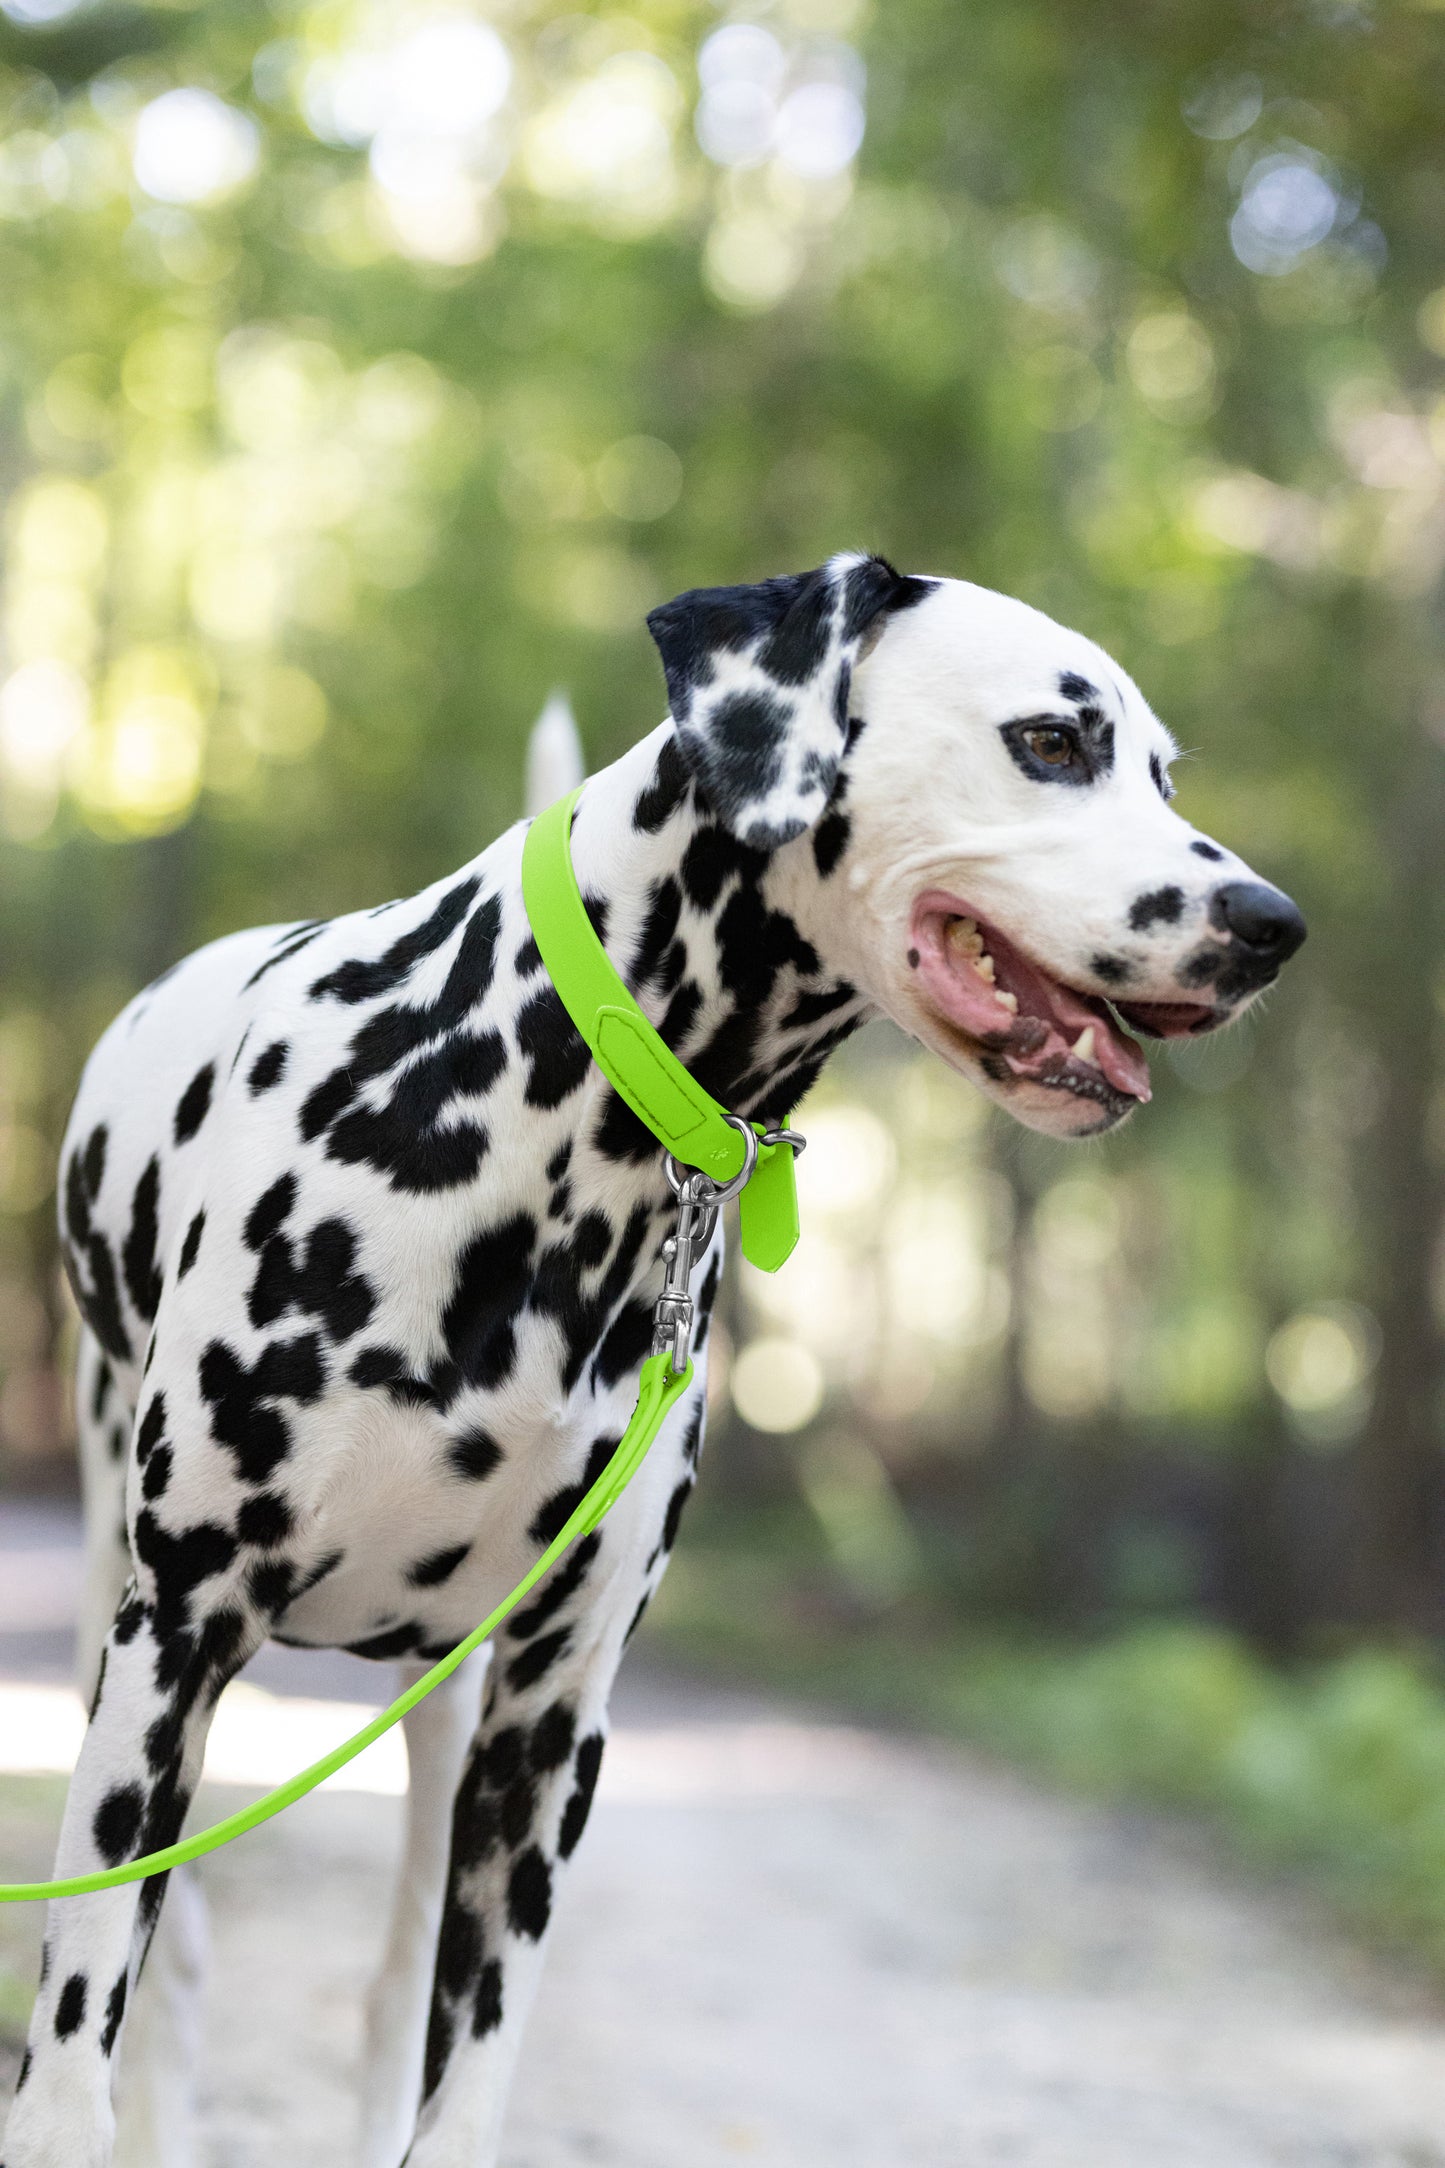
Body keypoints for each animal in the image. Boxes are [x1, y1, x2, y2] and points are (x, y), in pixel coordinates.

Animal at [2, 555, 1308, 2168]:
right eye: (1053, 743)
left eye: (1162, 770)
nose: (1271, 923)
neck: (540, 1131)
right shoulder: (178, 1643)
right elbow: (75, 2053)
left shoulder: (551, 1720)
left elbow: (463, 2083)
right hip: (123, 1632)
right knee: (169, 1987)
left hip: (445, 1711)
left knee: (386, 2000)